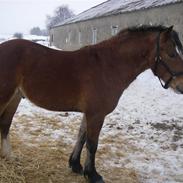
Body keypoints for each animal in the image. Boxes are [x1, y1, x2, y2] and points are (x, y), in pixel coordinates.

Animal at [0, 25, 183, 182]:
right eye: (172, 54)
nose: (181, 86)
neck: (108, 66)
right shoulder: (96, 114)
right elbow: (92, 144)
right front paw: (92, 174)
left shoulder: (89, 113)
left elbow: (81, 137)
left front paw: (75, 165)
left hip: (15, 98)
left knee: (5, 125)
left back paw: (8, 156)